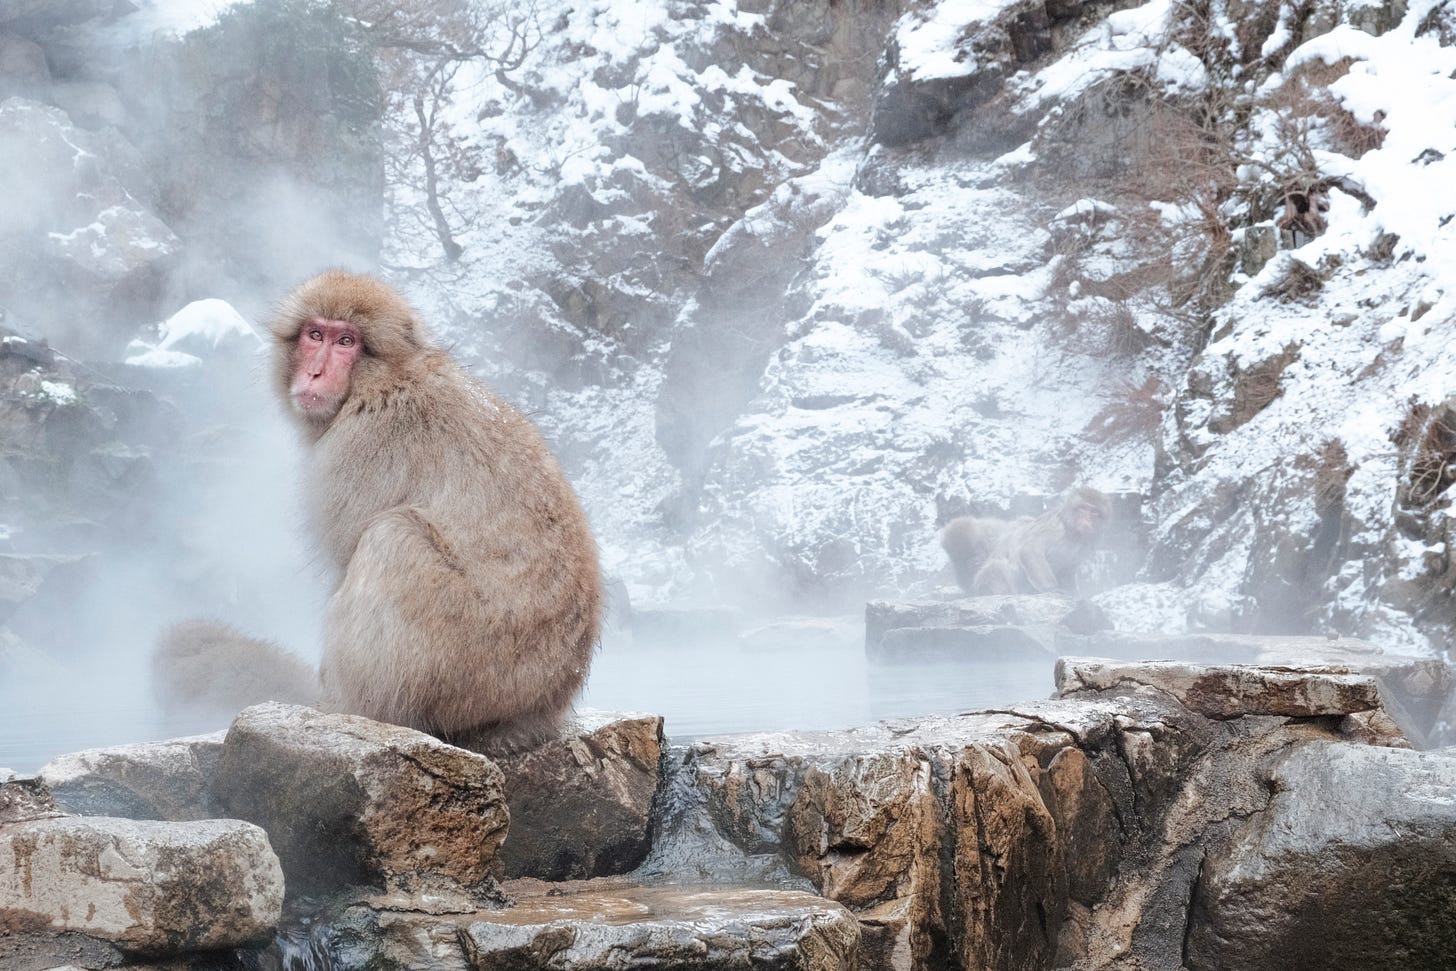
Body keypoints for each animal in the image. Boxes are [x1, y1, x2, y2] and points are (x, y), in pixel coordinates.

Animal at [942, 488, 1111, 596]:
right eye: (1083, 509)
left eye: (1094, 512)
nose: (1087, 520)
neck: (1074, 535)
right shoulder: (1056, 531)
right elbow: (1029, 548)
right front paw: (1051, 589)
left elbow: (1068, 569)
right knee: (998, 567)